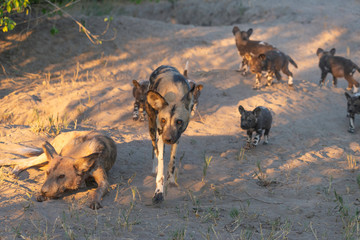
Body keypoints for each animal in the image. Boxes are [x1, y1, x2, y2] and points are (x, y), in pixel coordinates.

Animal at [145, 64, 197, 203]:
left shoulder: (177, 138)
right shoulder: (160, 135)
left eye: (179, 121)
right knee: (154, 149)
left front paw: (172, 181)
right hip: (152, 128)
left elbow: (171, 162)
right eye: (163, 120)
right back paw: (154, 168)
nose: (168, 139)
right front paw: (158, 192)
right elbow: (161, 166)